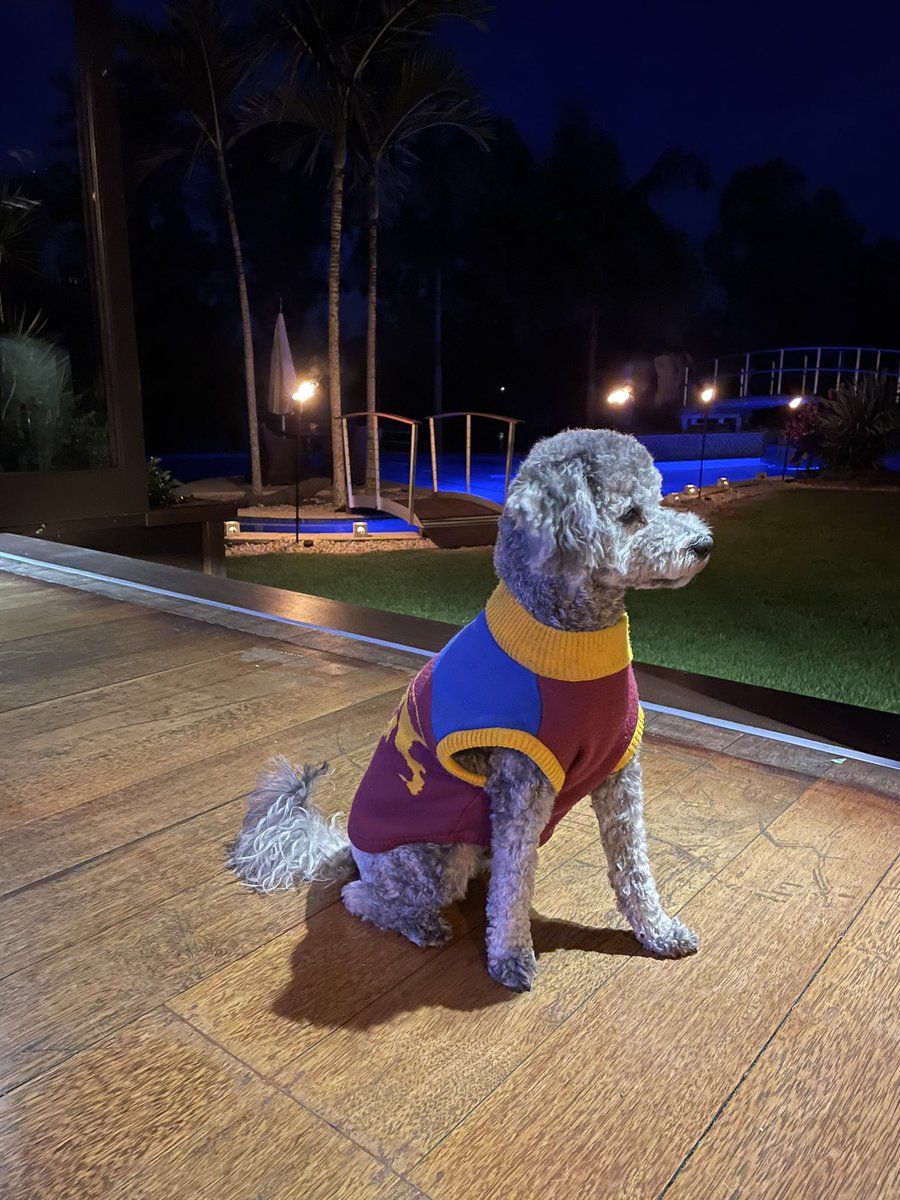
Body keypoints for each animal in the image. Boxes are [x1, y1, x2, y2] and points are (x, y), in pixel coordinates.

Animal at [229, 432, 715, 993]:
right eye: (631, 514)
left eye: (659, 497)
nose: (703, 544)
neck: (568, 638)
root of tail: (349, 851)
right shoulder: (522, 785)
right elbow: (514, 888)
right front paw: (510, 955)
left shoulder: (620, 773)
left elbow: (633, 864)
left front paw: (656, 930)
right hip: (434, 857)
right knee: (361, 898)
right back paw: (419, 923)